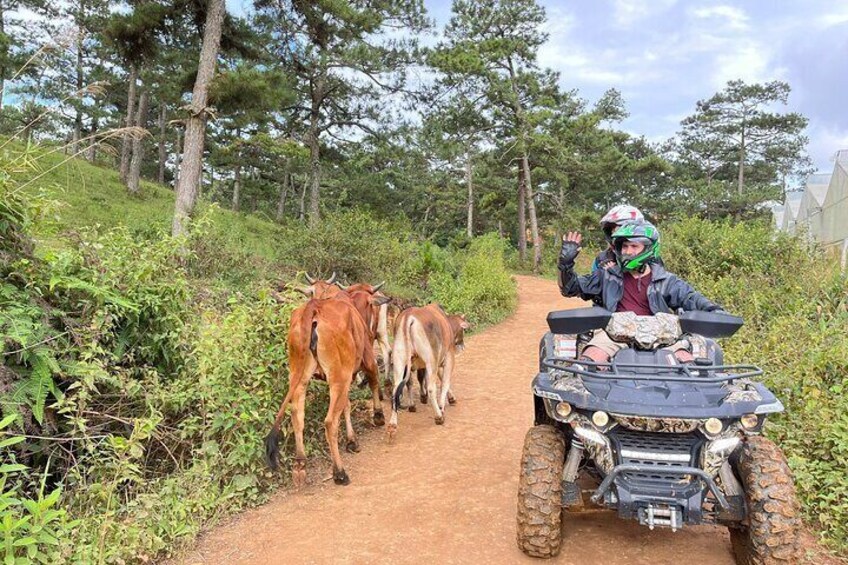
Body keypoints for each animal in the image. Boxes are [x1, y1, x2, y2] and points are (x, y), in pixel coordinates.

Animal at [386, 304, 468, 436]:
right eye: (463, 330)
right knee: (431, 388)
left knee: (395, 390)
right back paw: (438, 416)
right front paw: (444, 405)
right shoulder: (448, 357)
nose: (462, 345)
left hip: (399, 361)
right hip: (430, 361)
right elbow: (444, 382)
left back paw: (393, 424)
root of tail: (408, 318)